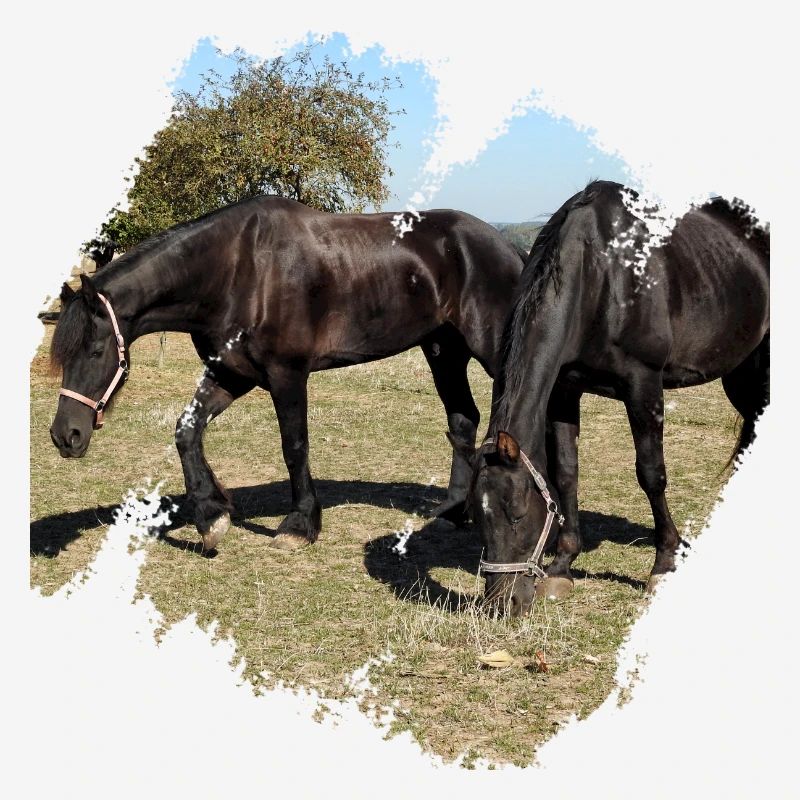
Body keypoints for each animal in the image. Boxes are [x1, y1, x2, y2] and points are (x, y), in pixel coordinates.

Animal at [48, 196, 525, 551]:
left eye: (95, 350)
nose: (65, 436)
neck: (238, 270)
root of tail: (507, 247)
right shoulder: (231, 374)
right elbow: (187, 431)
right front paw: (211, 515)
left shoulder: (287, 374)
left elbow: (294, 446)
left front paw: (299, 525)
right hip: (443, 351)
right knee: (462, 419)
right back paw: (453, 513)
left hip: (489, 351)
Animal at [462, 180, 769, 616]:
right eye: (476, 515)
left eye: (518, 514)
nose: (502, 604)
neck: (603, 274)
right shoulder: (565, 389)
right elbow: (566, 473)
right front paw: (562, 566)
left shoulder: (643, 385)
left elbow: (651, 474)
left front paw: (662, 564)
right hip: (741, 373)